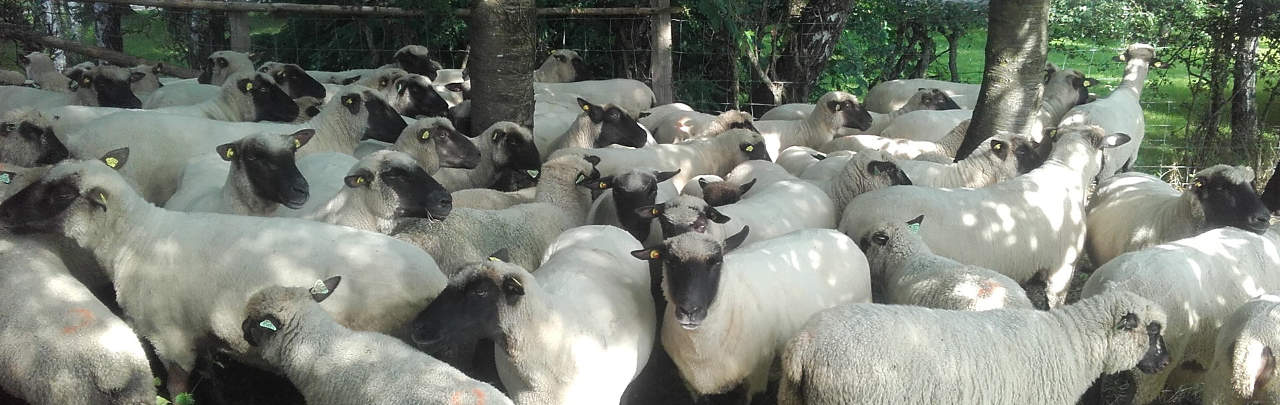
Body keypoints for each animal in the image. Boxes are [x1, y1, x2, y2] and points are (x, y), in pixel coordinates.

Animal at [629, 227, 871, 401]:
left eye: (717, 261)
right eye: (670, 261)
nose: (690, 310)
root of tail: (839, 235)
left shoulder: (755, 377)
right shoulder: (691, 384)